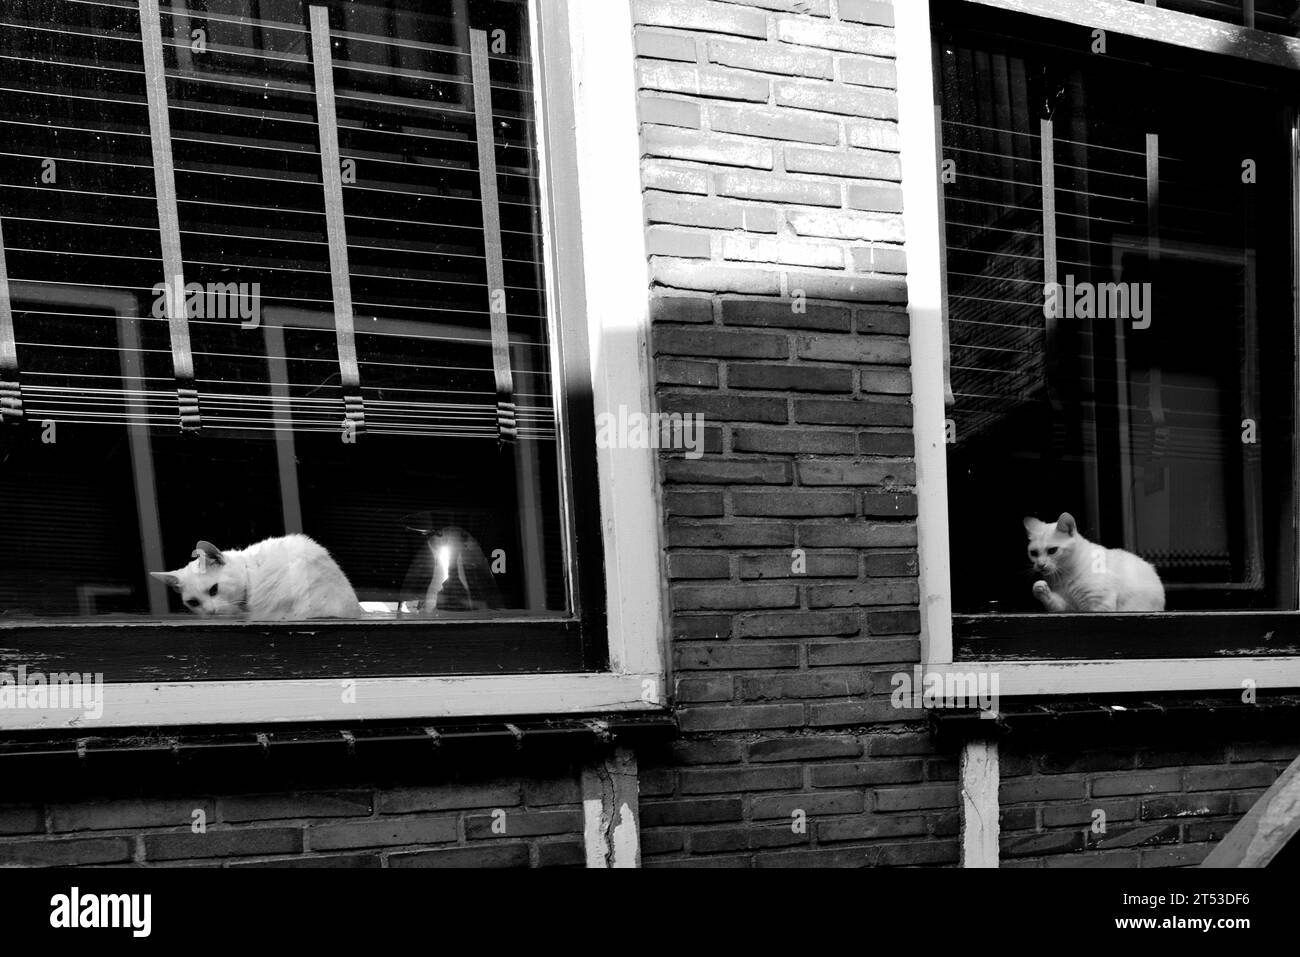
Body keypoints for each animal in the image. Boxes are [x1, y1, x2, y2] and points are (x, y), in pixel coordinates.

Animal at [1024, 514, 1170, 613]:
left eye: (1052, 550)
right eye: (1033, 553)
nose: (1040, 565)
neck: (1064, 576)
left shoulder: (1100, 606)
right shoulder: (1068, 607)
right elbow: (1054, 602)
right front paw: (1040, 588)